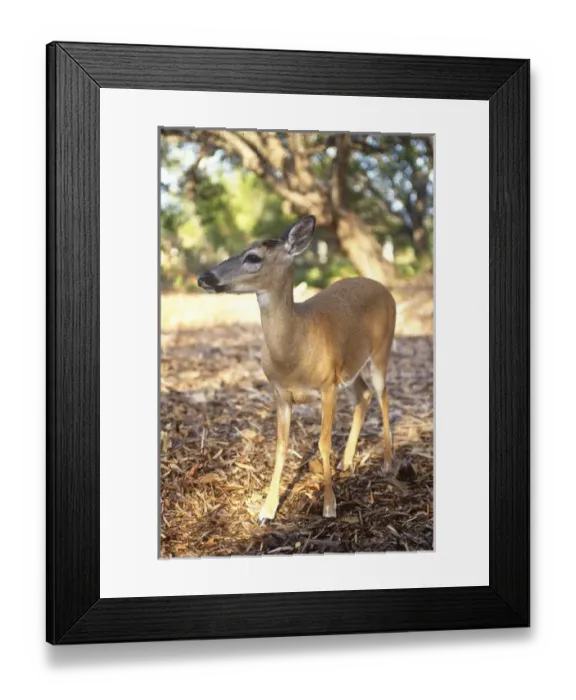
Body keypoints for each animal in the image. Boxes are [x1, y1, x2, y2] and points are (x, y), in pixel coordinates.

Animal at [198, 215, 397, 524]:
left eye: (252, 257)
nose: (203, 278)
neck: (294, 354)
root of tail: (386, 290)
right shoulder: (280, 393)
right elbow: (280, 447)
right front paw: (266, 511)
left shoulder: (327, 386)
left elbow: (323, 443)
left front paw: (329, 506)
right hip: (349, 366)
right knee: (363, 395)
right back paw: (347, 462)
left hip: (381, 349)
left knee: (383, 395)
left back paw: (387, 463)